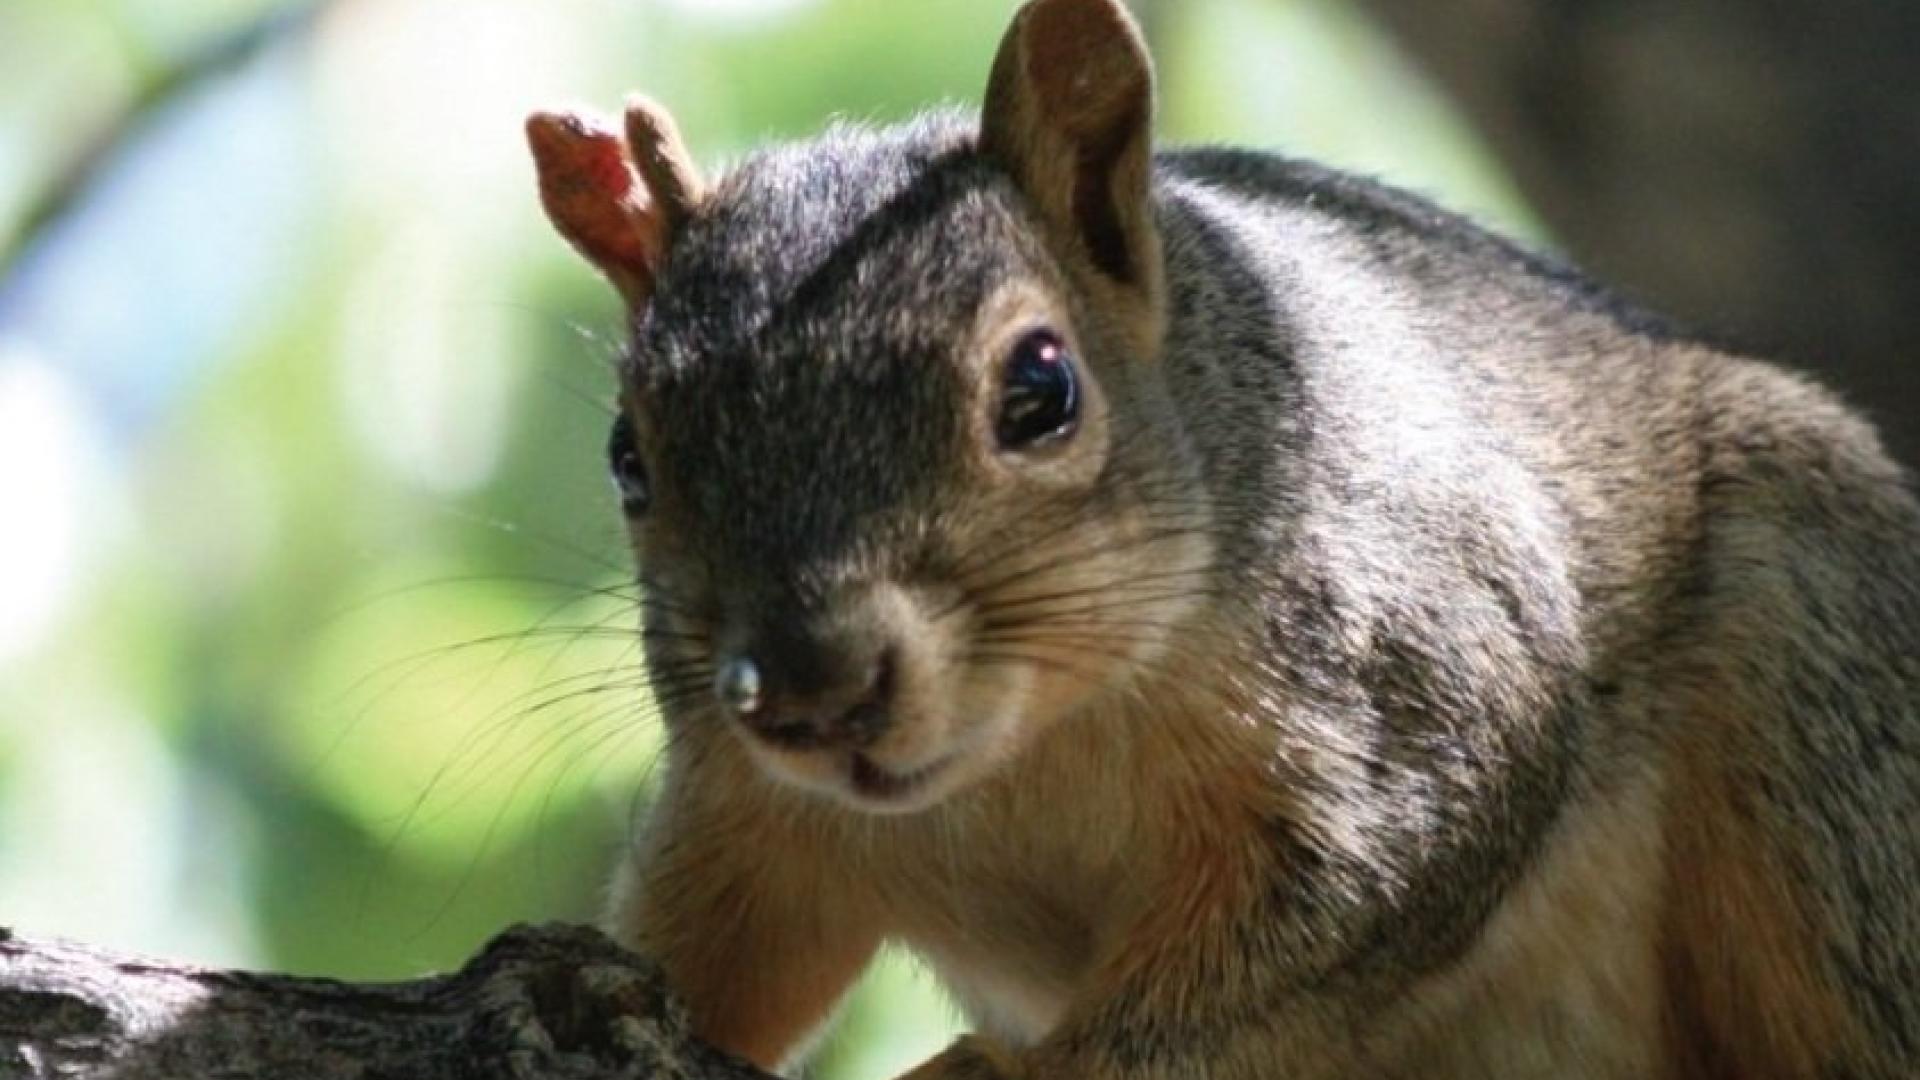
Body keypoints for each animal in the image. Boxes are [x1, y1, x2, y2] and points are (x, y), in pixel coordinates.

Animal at [524, 0, 1920, 1075]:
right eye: (627, 455)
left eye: (1042, 388)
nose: (814, 692)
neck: (1022, 765)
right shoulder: (744, 818)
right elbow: (708, 952)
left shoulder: (1419, 681)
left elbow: (1286, 945)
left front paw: (1000, 1072)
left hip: (1823, 718)